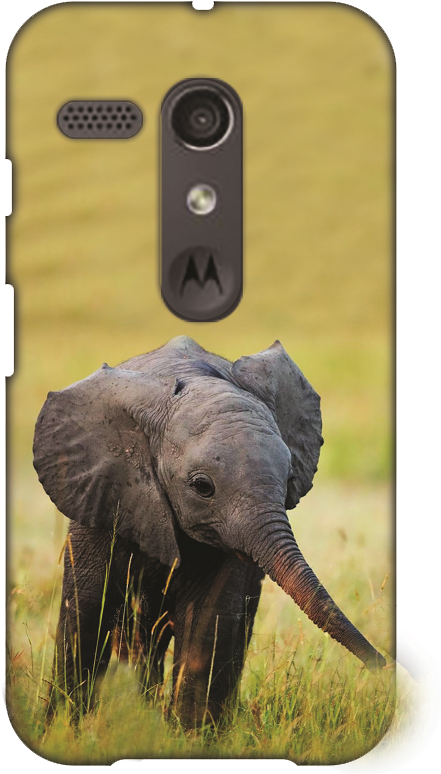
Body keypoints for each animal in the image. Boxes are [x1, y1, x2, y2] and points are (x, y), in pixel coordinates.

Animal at [33, 336, 430, 727]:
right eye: (202, 486)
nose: (419, 673)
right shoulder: (100, 497)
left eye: (289, 477)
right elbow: (86, 613)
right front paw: (64, 731)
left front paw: (189, 736)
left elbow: (209, 622)